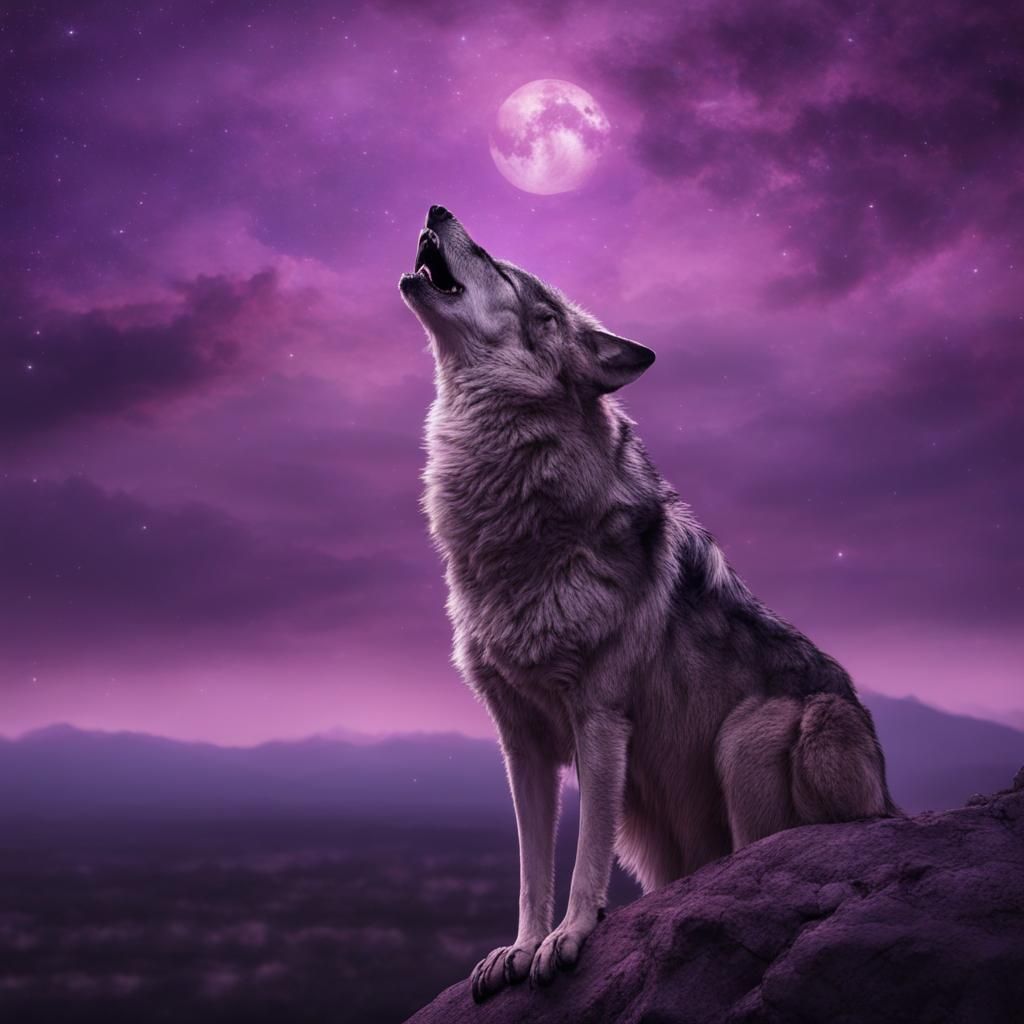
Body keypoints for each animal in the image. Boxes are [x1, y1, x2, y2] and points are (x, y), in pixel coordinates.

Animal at [399, 205, 896, 1001]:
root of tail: (889, 799)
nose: (437, 210)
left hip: (752, 734)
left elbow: (582, 862)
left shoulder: (600, 720)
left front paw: (568, 938)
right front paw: (519, 948)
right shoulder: (522, 744)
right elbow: (531, 870)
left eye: (497, 264)